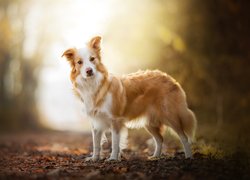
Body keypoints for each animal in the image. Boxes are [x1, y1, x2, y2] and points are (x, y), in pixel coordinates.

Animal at [61, 35, 196, 161]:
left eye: (92, 59)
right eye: (79, 62)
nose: (89, 71)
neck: (94, 85)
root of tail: (169, 77)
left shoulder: (115, 120)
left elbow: (115, 143)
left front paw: (113, 158)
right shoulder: (96, 122)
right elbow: (96, 143)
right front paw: (94, 158)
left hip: (170, 115)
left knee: (184, 137)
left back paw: (189, 156)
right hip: (150, 122)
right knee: (160, 139)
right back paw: (155, 156)